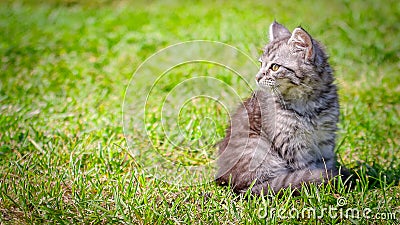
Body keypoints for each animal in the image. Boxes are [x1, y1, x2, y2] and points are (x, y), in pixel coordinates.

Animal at [216, 21, 346, 195]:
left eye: (275, 67)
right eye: (261, 64)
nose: (257, 77)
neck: (309, 104)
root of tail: (226, 180)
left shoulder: (325, 138)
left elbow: (326, 163)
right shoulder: (293, 144)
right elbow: (308, 170)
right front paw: (320, 188)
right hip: (257, 148)